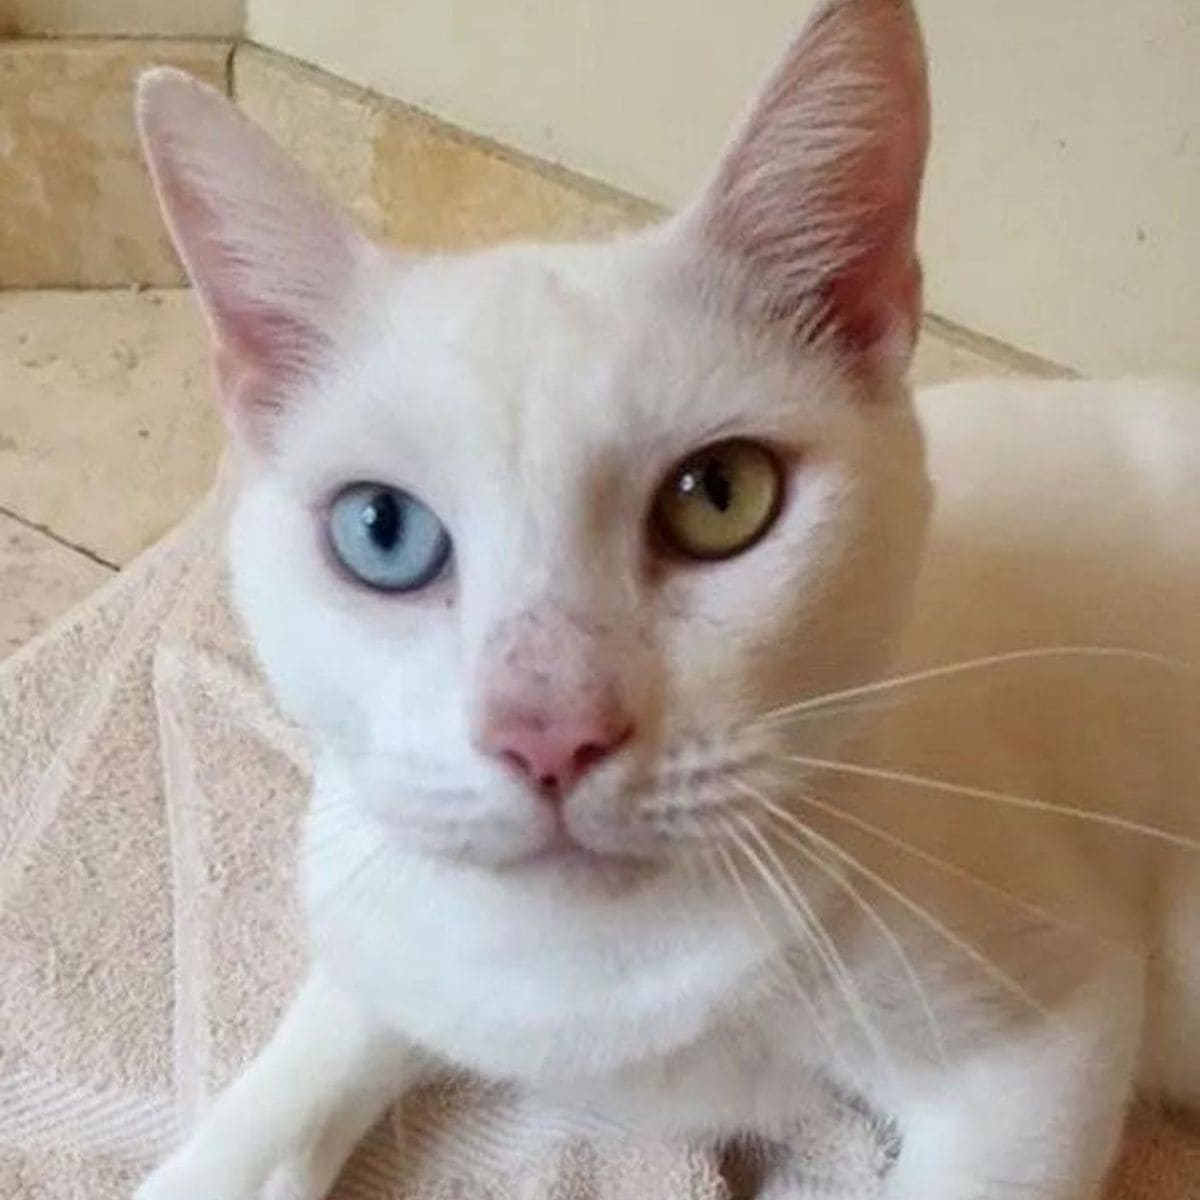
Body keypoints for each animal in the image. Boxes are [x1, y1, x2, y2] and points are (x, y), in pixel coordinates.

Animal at [133, 2, 1200, 1200]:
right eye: (383, 531)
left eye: (722, 496)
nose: (550, 731)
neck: (584, 980)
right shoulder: (389, 913)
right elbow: (321, 1047)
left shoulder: (1038, 1045)